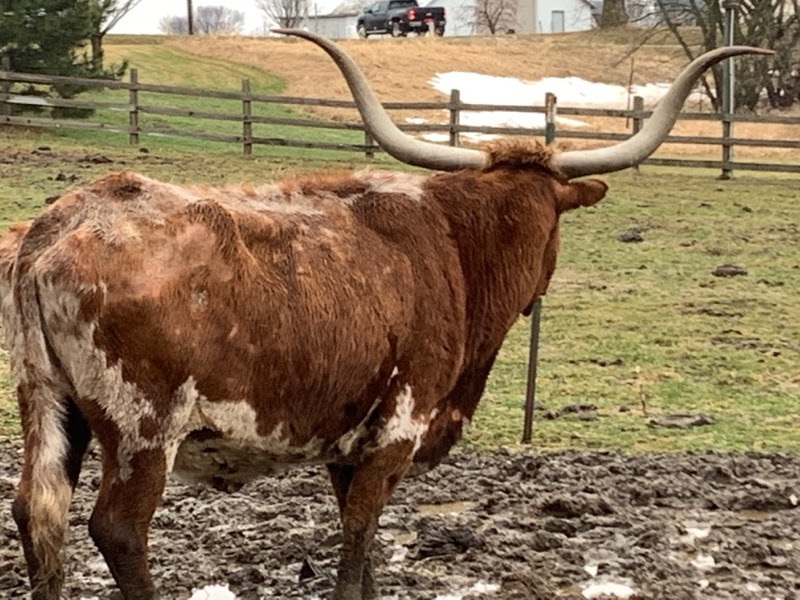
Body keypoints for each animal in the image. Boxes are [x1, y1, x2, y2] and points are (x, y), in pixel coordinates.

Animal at [2, 30, 768, 600]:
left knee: (38, 513)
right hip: (142, 429)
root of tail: (59, 223)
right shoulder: (394, 434)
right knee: (119, 530)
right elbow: (357, 543)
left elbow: (363, 552)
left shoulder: (349, 447)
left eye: (548, 222)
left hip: (49, 406)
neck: (455, 245)